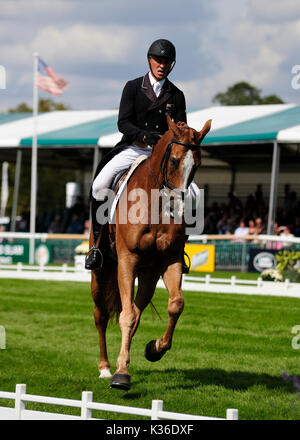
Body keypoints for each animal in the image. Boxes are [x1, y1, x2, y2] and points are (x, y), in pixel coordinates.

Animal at [91, 115, 211, 390]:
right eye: (174, 161)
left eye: (197, 165)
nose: (178, 209)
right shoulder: (127, 260)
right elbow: (124, 316)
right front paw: (121, 377)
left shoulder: (170, 260)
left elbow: (175, 304)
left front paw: (153, 349)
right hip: (101, 272)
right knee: (101, 315)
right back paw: (105, 367)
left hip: (148, 274)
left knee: (137, 311)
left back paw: (122, 362)